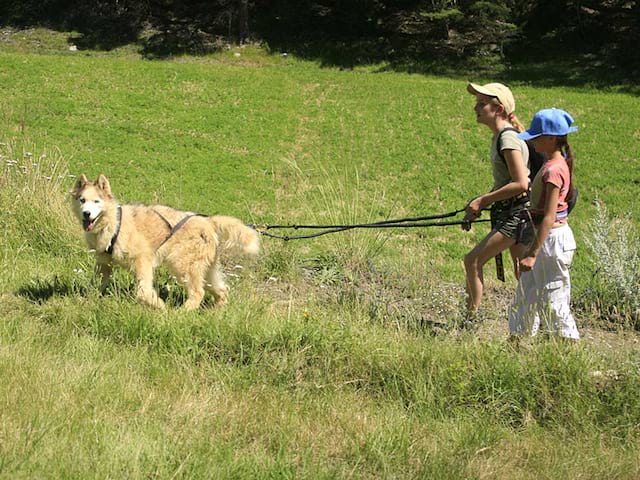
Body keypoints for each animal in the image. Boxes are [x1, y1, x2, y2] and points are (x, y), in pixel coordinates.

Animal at [70, 174, 260, 310]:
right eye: (82, 200)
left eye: (97, 201)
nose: (86, 213)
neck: (113, 223)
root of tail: (208, 221)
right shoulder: (104, 263)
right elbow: (98, 284)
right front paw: (88, 299)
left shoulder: (142, 260)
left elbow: (143, 291)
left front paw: (158, 305)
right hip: (206, 270)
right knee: (222, 290)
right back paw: (216, 312)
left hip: (182, 265)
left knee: (198, 292)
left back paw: (181, 313)